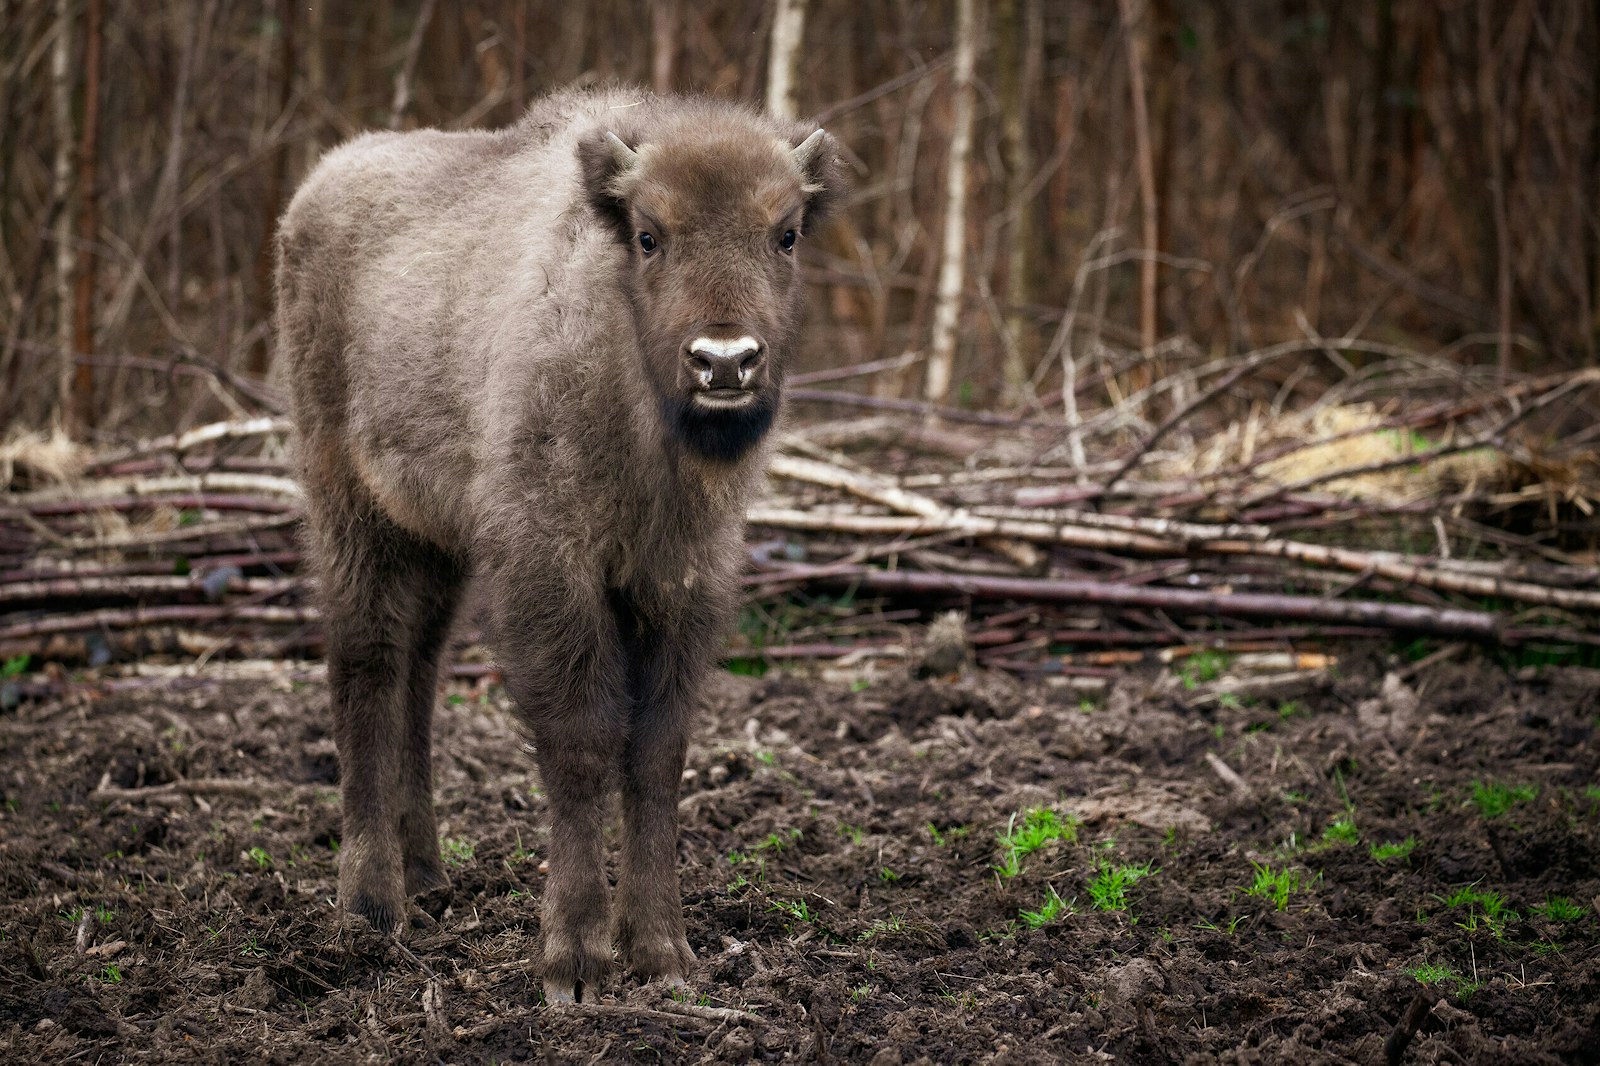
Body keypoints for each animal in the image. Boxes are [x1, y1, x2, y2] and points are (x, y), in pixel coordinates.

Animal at [280, 89, 844, 998]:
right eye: (649, 233)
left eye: (785, 231)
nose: (725, 363)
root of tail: (315, 190)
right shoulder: (550, 566)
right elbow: (581, 741)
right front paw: (574, 962)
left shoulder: (680, 581)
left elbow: (655, 754)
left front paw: (664, 954)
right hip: (350, 508)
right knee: (365, 667)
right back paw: (371, 908)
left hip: (437, 543)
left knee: (419, 674)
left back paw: (428, 877)